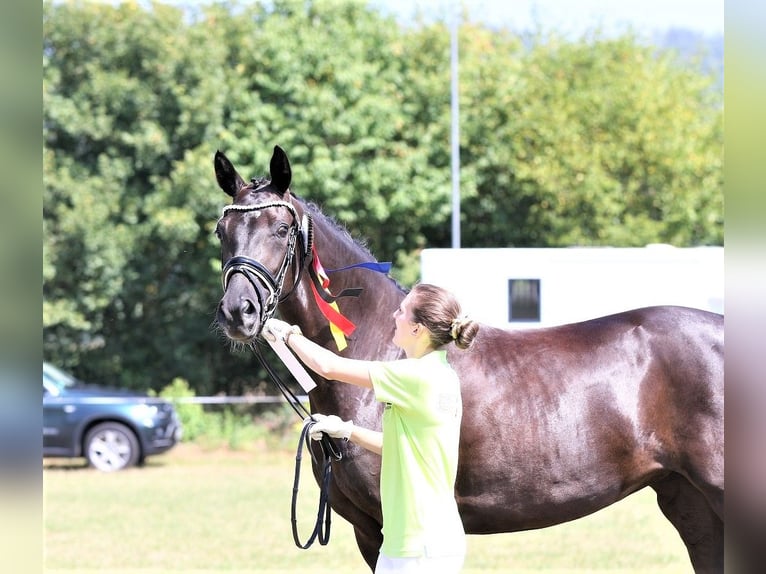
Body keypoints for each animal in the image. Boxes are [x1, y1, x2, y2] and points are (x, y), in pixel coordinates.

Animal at [214, 146, 728, 572]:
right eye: (223, 232)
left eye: (282, 229)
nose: (238, 312)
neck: (380, 349)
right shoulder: (366, 530)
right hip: (690, 503)